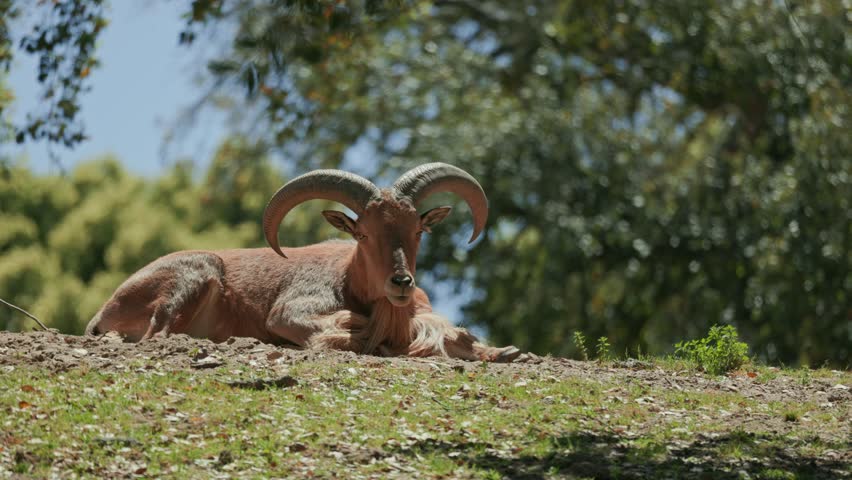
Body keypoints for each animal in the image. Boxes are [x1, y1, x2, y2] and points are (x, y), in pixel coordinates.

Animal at [85, 163, 520, 362]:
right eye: (363, 234)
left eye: (418, 230)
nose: (400, 283)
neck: (349, 280)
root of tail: (104, 310)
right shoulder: (292, 311)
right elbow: (341, 331)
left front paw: (503, 351)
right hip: (197, 272)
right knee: (157, 333)